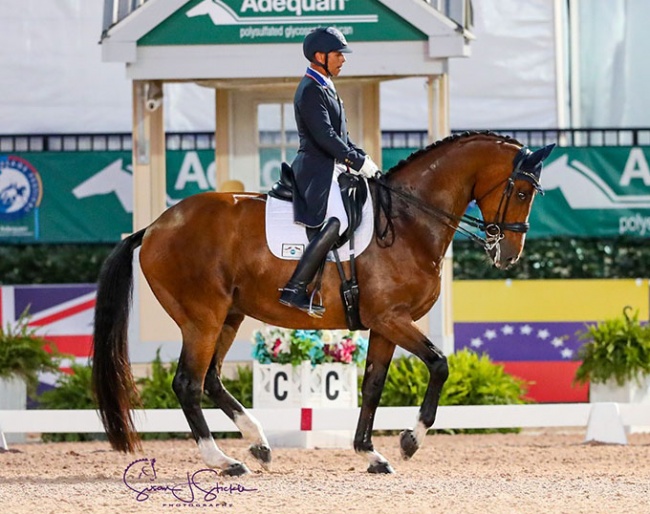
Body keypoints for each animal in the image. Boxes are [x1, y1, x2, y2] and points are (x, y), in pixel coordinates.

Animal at [92, 130, 552, 474]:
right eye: (522, 192)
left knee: (210, 380)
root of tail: (154, 227)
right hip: (201, 318)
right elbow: (439, 364)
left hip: (228, 316)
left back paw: (258, 444)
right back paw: (224, 461)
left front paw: (371, 452)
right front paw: (409, 440)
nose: (508, 254)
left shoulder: (384, 324)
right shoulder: (393, 318)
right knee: (187, 384)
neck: (408, 221)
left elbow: (373, 385)